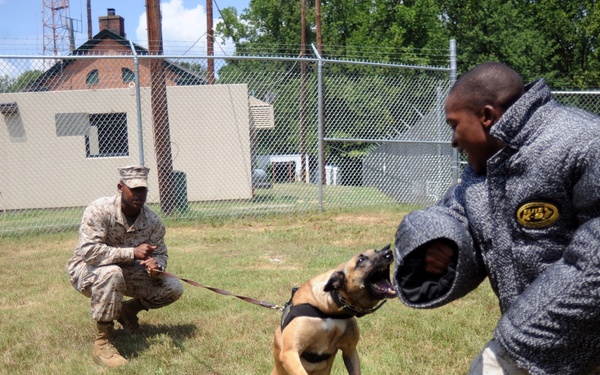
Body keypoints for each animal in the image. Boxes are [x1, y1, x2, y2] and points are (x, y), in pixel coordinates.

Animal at [274, 245, 398, 374]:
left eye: (376, 251)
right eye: (360, 260)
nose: (389, 252)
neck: (331, 309)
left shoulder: (350, 351)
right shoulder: (290, 352)